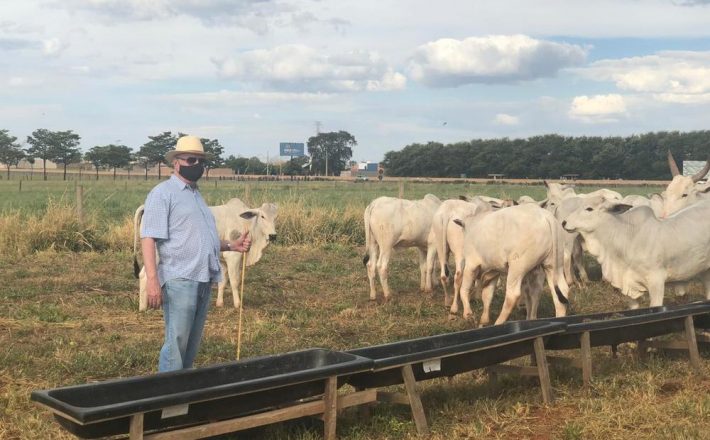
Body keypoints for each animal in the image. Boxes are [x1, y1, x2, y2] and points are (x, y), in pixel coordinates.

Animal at [134, 198, 278, 312]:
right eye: (262, 216)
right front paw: (238, 304)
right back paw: (143, 307)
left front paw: (219, 303)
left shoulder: (222, 260)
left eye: (275, 217)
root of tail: (146, 207)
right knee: (145, 275)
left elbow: (222, 282)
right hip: (155, 254)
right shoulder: (233, 257)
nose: (273, 235)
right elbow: (234, 281)